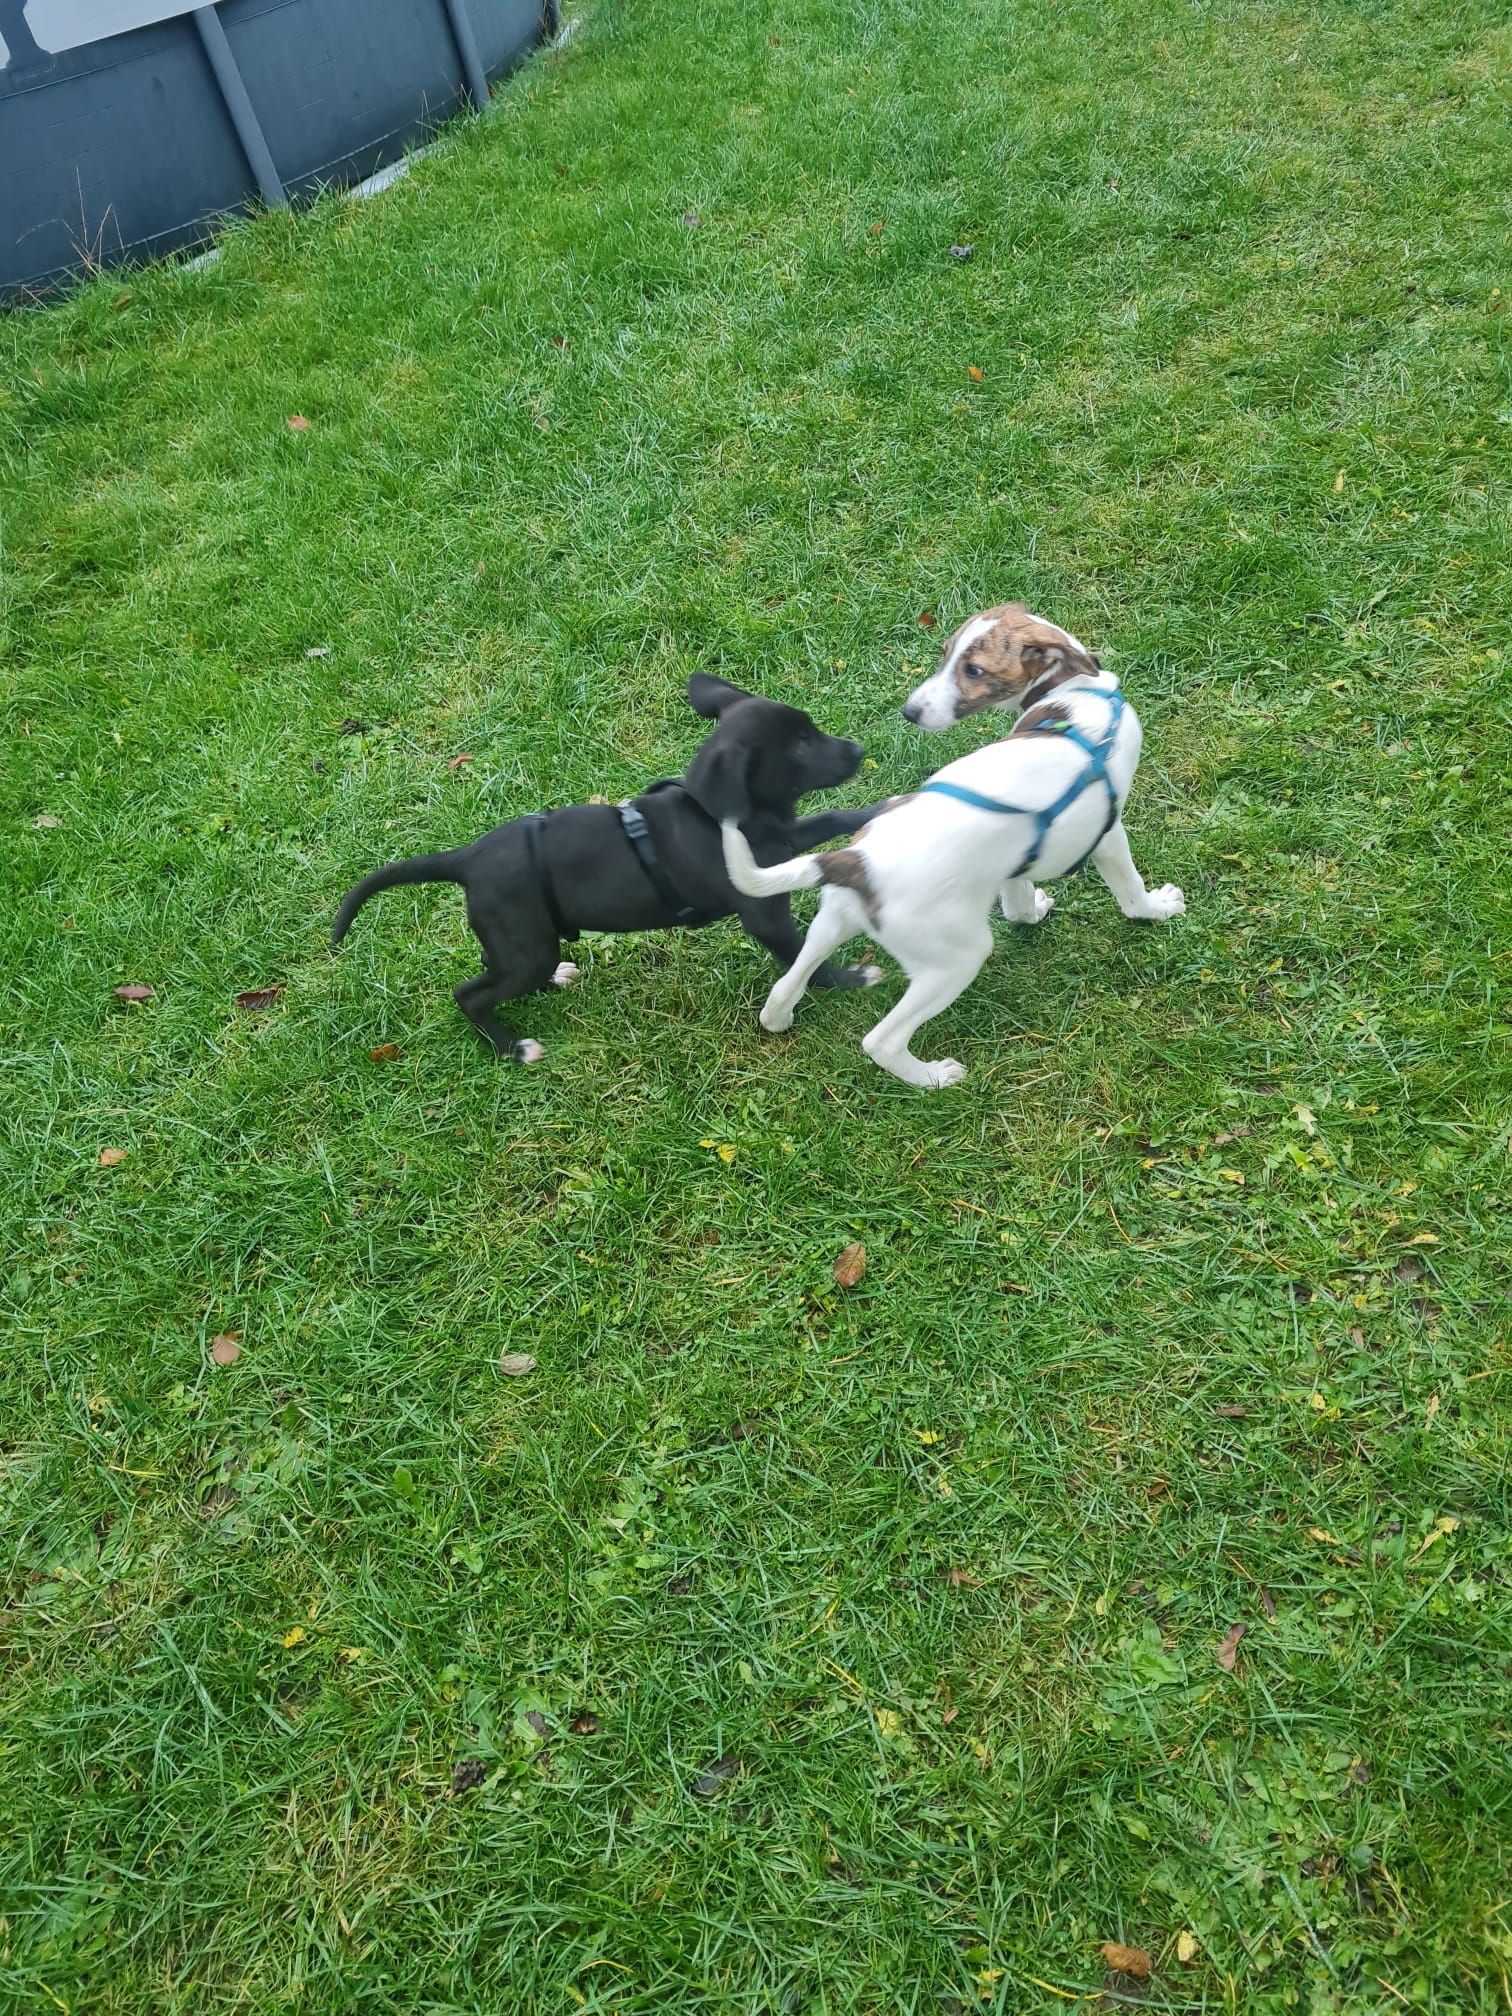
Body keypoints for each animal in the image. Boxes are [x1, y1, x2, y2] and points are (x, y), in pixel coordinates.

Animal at [332, 674, 888, 1061]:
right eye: (799, 746)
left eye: (811, 729)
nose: (859, 749)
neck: (717, 815)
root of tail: (467, 858)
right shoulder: (763, 910)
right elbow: (801, 959)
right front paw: (850, 978)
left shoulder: (783, 839)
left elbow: (828, 820)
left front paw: (880, 810)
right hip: (525, 946)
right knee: (469, 995)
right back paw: (512, 1047)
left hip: (520, 939)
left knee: (494, 967)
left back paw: (552, 982)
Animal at [720, 604, 1185, 1088]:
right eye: (947, 655)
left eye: (972, 669)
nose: (910, 712)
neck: (1076, 695)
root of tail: (853, 860)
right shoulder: (1108, 834)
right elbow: (1130, 892)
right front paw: (1157, 908)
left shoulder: (1015, 861)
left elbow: (1017, 902)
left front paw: (1031, 911)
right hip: (954, 958)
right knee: (881, 1040)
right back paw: (931, 1077)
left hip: (833, 920)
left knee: (785, 986)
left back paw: (781, 1016)